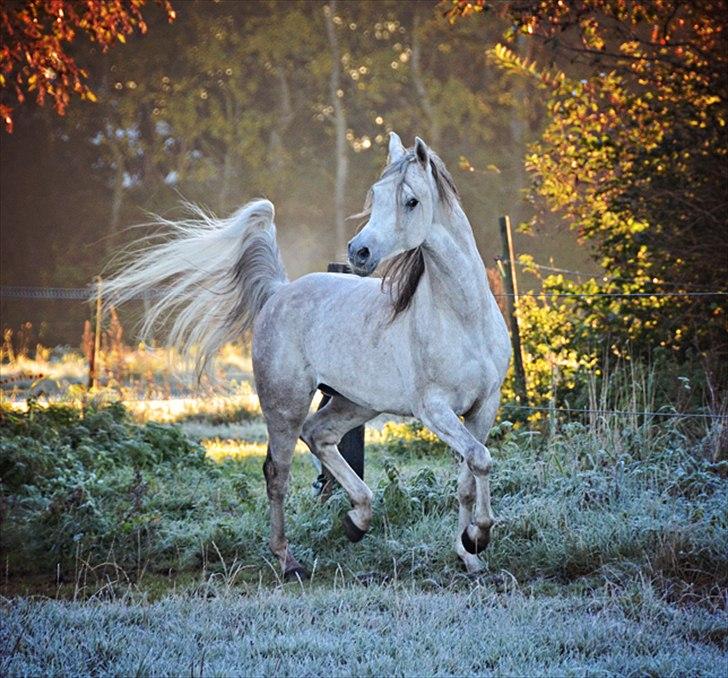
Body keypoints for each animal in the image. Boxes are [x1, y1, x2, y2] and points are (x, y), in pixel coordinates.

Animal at [104, 134, 512, 580]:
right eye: (375, 195)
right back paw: (288, 560)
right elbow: (481, 460)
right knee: (277, 474)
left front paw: (470, 554)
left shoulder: (483, 406)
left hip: (355, 402)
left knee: (319, 435)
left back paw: (356, 521)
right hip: (286, 404)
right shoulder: (433, 409)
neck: (461, 316)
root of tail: (279, 291)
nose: (360, 251)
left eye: (411, 201)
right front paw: (480, 537)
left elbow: (469, 475)